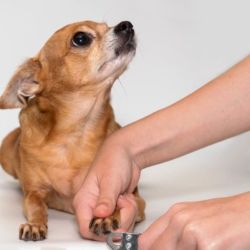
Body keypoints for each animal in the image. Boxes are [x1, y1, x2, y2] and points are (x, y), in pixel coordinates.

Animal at [0, 21, 145, 240]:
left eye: (106, 26)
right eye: (81, 38)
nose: (126, 25)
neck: (75, 133)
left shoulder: (137, 200)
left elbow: (122, 203)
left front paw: (106, 216)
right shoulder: (34, 192)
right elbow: (36, 205)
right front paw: (35, 224)